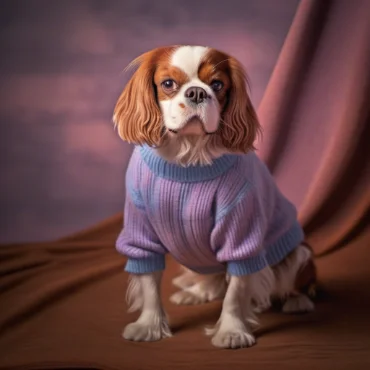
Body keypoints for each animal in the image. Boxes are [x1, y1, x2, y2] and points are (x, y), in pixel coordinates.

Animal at [112, 44, 316, 348]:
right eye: (168, 84)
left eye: (217, 85)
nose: (197, 92)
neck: (188, 158)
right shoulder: (141, 232)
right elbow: (149, 283)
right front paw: (149, 325)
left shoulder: (241, 234)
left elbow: (236, 292)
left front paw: (231, 331)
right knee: (214, 279)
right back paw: (196, 292)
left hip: (299, 253)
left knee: (296, 279)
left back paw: (297, 301)